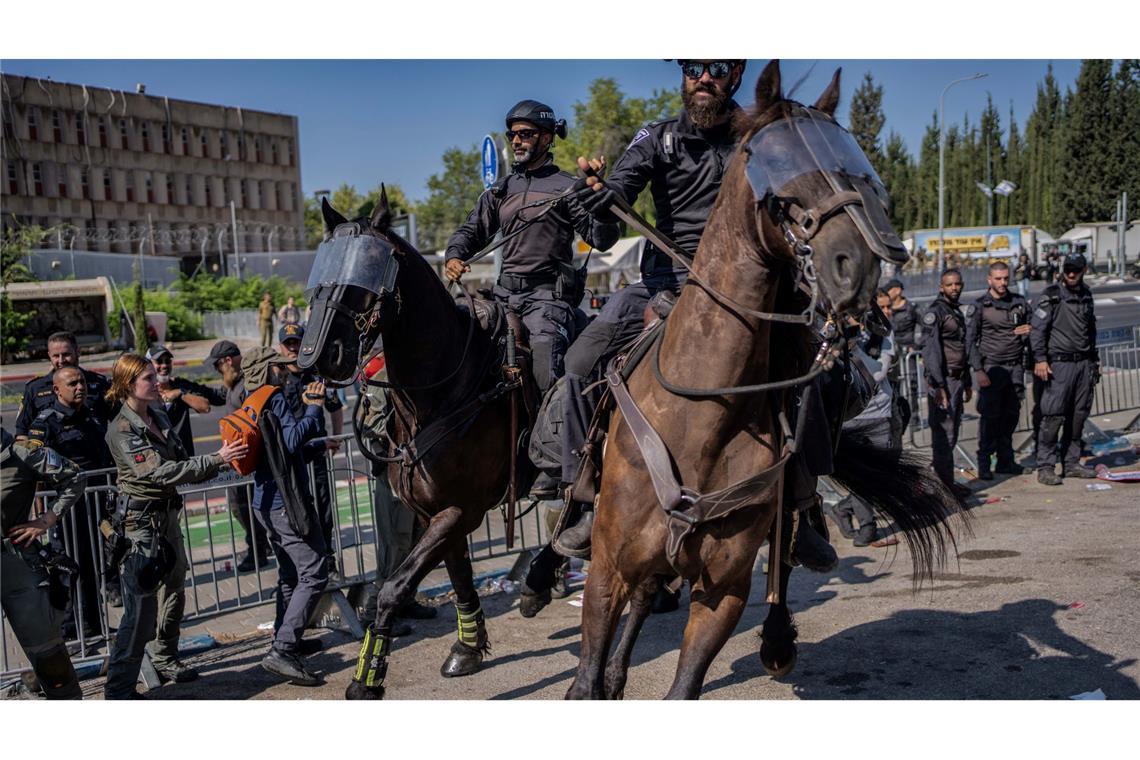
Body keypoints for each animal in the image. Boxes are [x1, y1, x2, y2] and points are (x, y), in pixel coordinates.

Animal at [570, 60, 962, 701]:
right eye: (777, 166)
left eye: (855, 162)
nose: (858, 265)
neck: (702, 416)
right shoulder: (606, 569)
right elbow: (585, 677)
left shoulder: (723, 592)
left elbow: (685, 681)